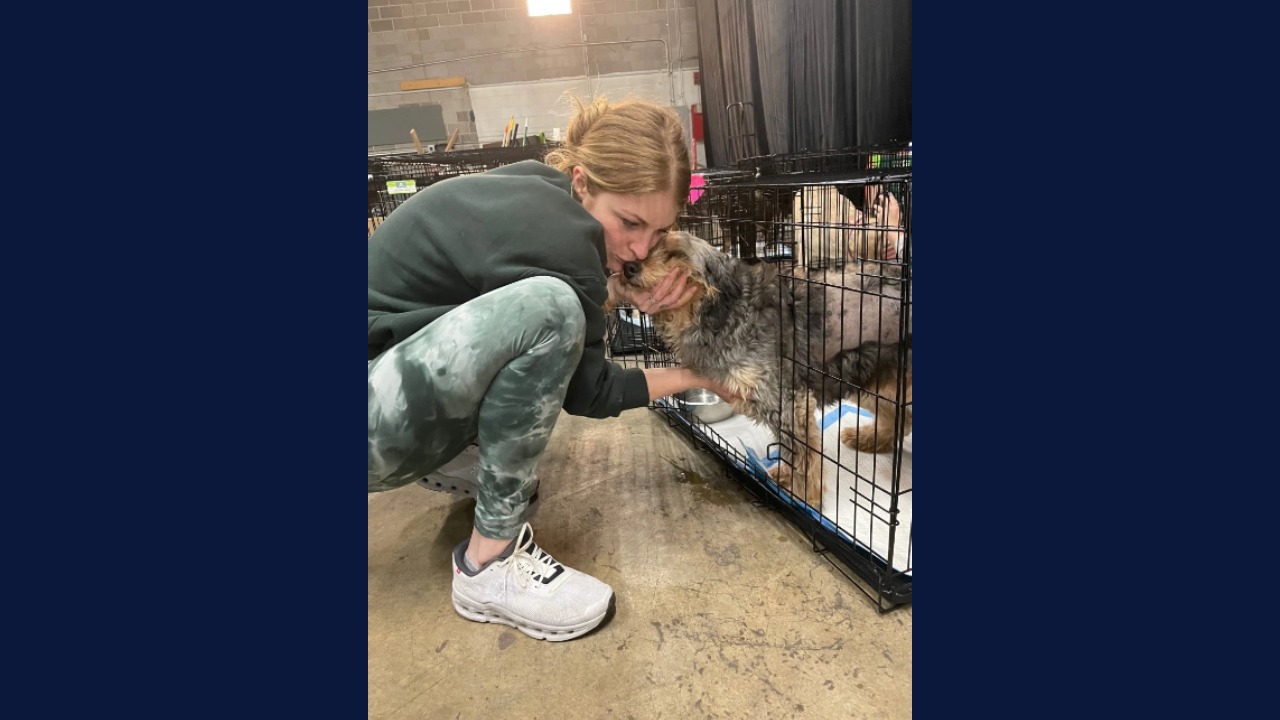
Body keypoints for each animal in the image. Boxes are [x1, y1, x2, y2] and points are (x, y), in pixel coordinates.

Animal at [616, 230, 911, 509]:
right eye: (648, 248)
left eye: (675, 253)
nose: (628, 267)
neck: (722, 310)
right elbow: (790, 451)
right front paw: (788, 477)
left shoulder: (786, 401)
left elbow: (801, 455)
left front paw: (805, 496)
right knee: (899, 419)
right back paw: (870, 438)